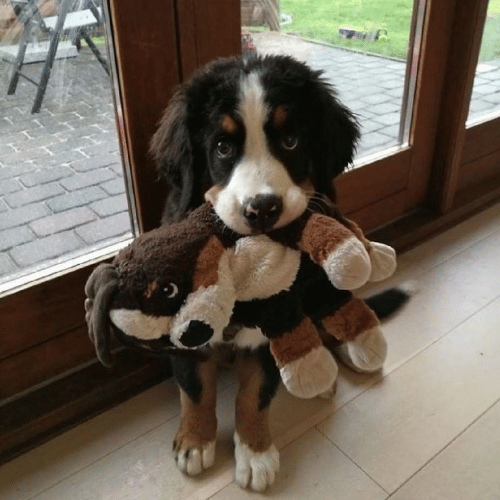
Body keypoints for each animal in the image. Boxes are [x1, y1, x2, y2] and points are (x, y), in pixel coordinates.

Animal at [148, 53, 406, 488]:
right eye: (222, 147)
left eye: (290, 141)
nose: (263, 208)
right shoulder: (184, 323)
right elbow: (195, 388)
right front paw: (195, 441)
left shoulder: (280, 317)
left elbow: (254, 397)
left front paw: (255, 453)